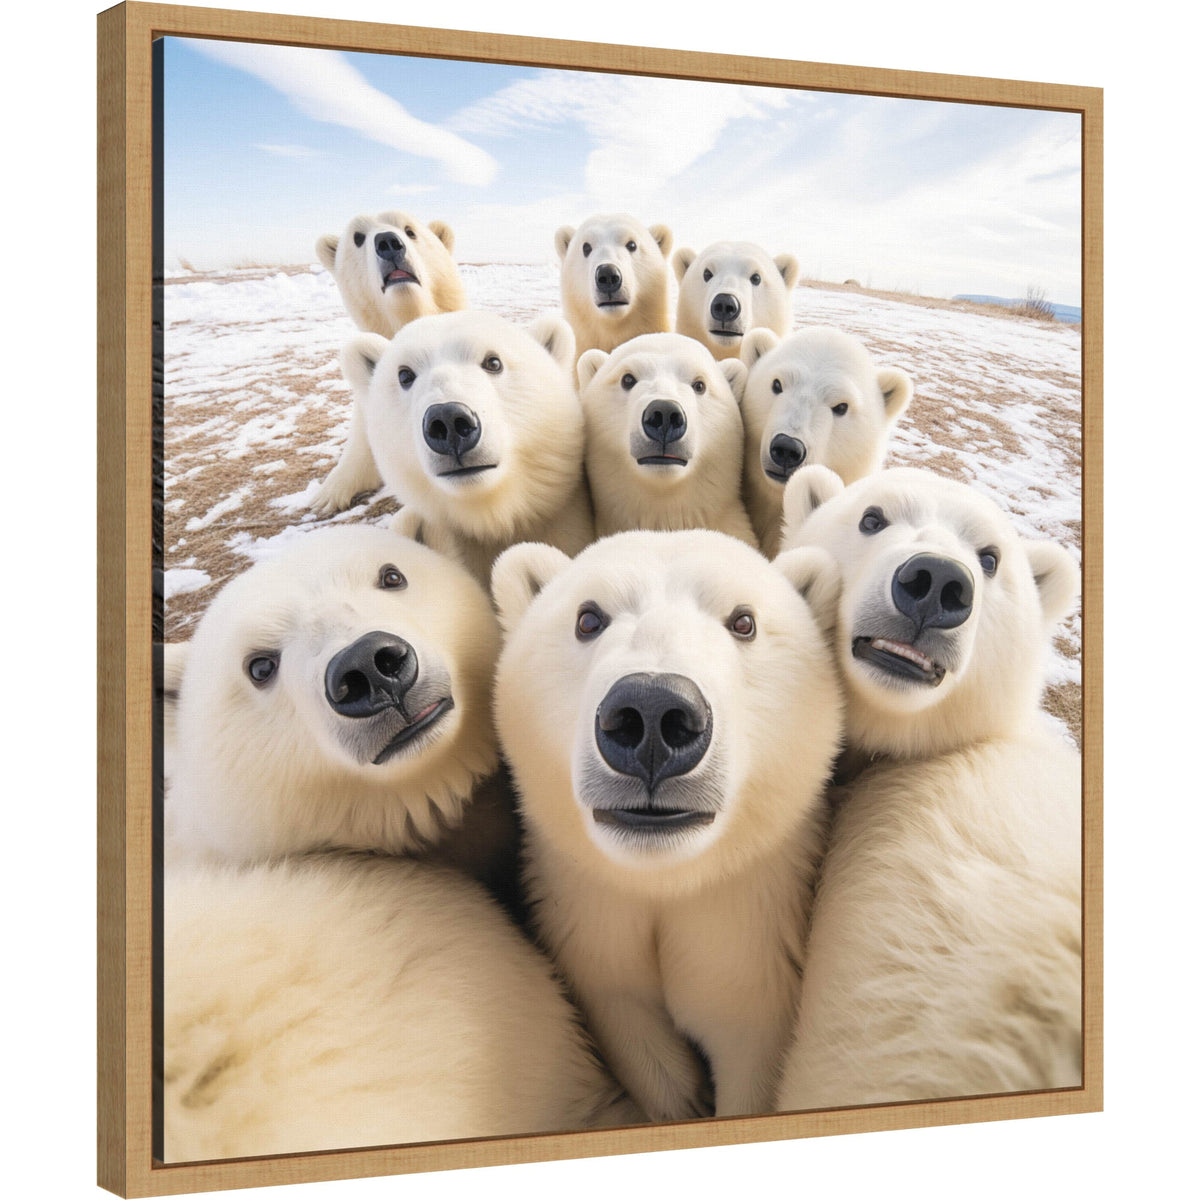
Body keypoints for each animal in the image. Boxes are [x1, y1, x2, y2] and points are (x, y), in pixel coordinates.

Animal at [491, 529, 844, 1121]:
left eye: (743, 621)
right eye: (588, 617)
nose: (653, 713)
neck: (666, 880)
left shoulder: (749, 926)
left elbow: (747, 1037)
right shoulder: (590, 916)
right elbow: (627, 1016)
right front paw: (684, 1098)